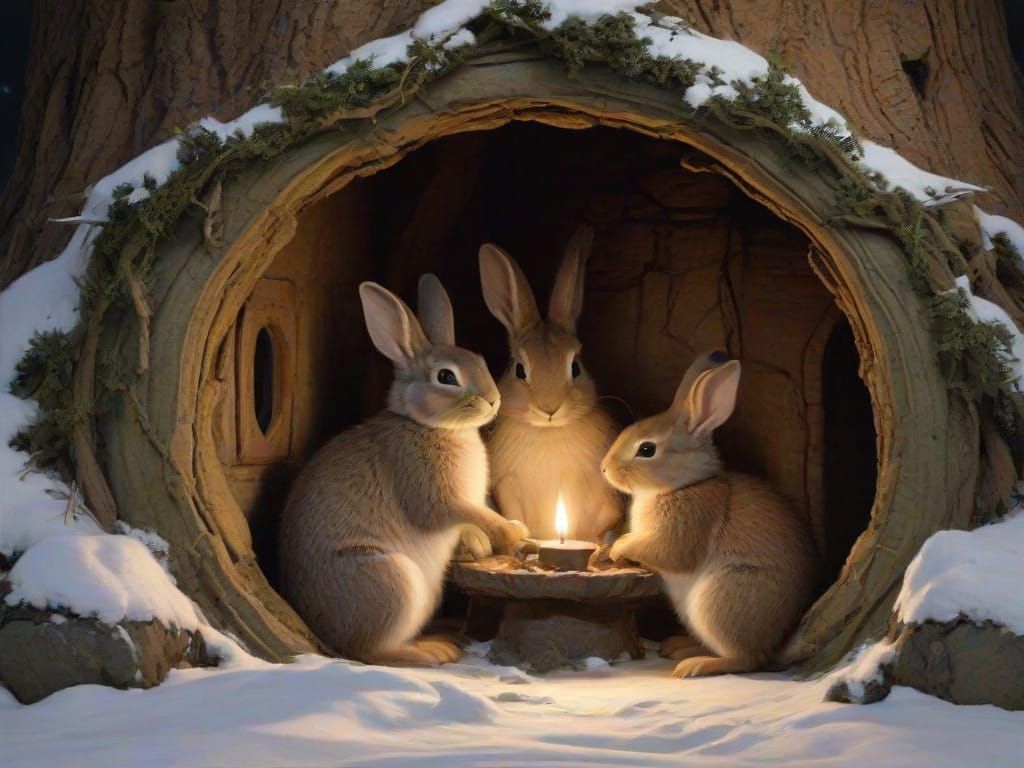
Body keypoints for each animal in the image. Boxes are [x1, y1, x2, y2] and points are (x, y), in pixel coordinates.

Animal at [279, 275, 528, 667]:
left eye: (479, 359)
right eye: (446, 376)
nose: (493, 400)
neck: (429, 425)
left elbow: (471, 522)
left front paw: (479, 545)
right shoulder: (435, 494)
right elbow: (471, 515)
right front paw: (514, 532)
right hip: (390, 582)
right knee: (370, 652)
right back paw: (432, 653)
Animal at [600, 351, 819, 678]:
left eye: (647, 449)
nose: (604, 468)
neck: (684, 484)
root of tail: (775, 643)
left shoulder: (686, 526)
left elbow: (665, 551)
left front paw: (618, 547)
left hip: (719, 601)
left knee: (746, 659)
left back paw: (692, 666)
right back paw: (677, 647)